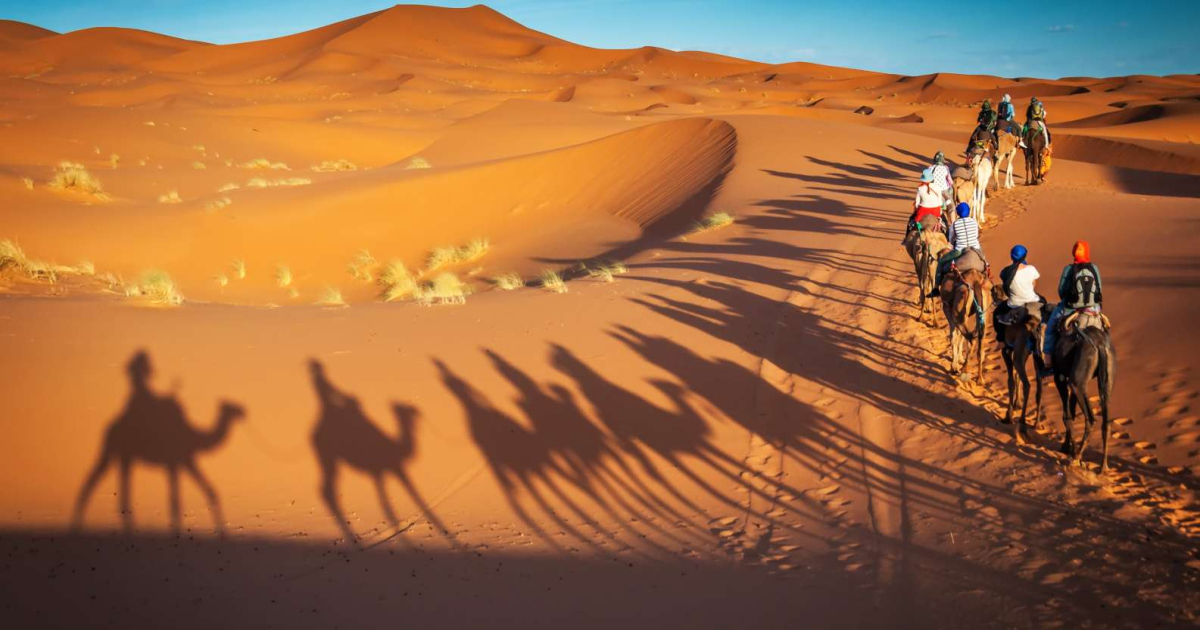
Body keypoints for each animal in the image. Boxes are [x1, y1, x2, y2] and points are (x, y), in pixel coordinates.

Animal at [71, 350, 244, 532]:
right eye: (232, 405)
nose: (244, 411)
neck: (193, 435)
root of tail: (109, 427)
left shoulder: (183, 461)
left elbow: (206, 491)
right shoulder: (177, 461)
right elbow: (176, 500)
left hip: (124, 454)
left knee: (117, 489)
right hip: (115, 449)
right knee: (96, 481)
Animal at [307, 357, 448, 544]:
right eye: (407, 412)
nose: (418, 419)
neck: (397, 448)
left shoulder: (380, 473)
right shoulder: (391, 469)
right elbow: (398, 503)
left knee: (327, 490)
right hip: (327, 456)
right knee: (326, 490)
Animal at [1051, 312, 1113, 468]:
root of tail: (1100, 345)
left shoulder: (1059, 376)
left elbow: (1067, 415)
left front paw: (1069, 449)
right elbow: (1071, 413)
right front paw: (1066, 447)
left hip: (1077, 381)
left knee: (1090, 419)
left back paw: (1077, 456)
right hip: (1107, 376)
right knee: (1106, 421)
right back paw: (1103, 467)